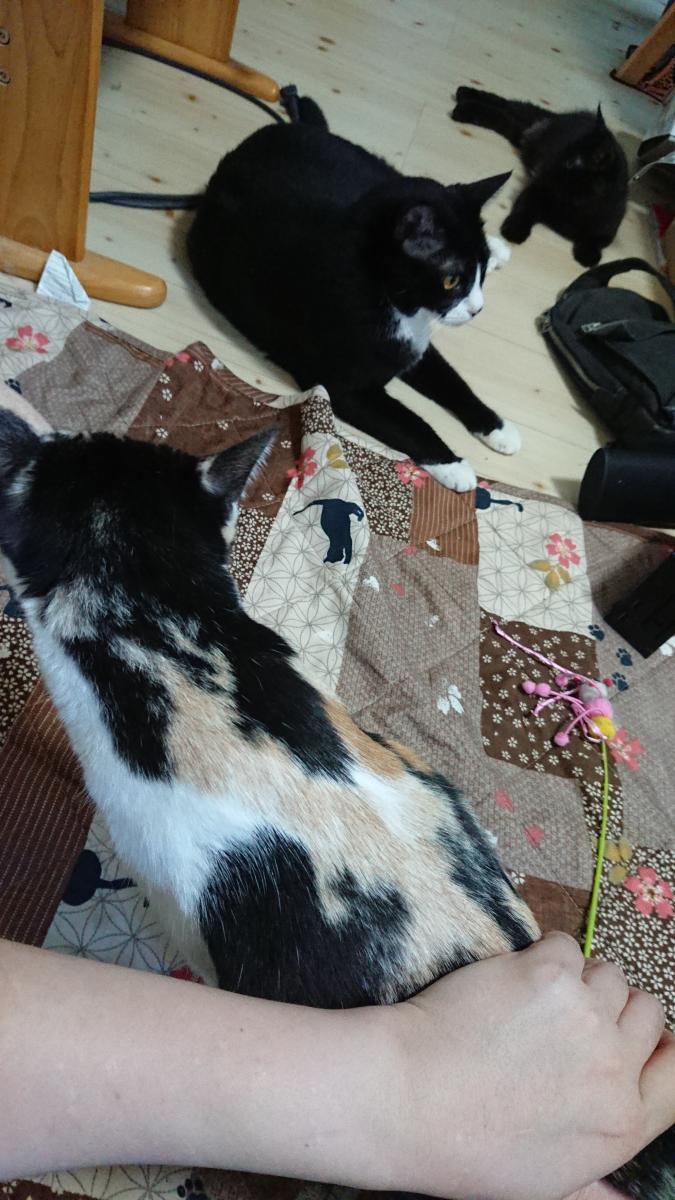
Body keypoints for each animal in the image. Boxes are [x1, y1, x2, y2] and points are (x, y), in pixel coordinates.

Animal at [187, 95, 519, 495]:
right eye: (452, 280)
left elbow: (452, 382)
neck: (393, 301)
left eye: (479, 274)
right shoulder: (344, 387)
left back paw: (501, 247)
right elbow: (407, 419)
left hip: (371, 171)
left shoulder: (417, 343)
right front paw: (455, 466)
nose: (477, 309)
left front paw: (499, 429)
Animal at [451, 88, 628, 267]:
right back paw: (464, 98)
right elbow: (524, 209)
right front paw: (514, 230)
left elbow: (597, 240)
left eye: (570, 163)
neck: (576, 203)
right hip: (530, 122)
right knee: (513, 105)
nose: (542, 171)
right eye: (561, 154)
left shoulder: (608, 227)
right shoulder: (536, 190)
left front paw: (588, 254)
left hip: (521, 133)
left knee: (508, 117)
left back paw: (465, 104)